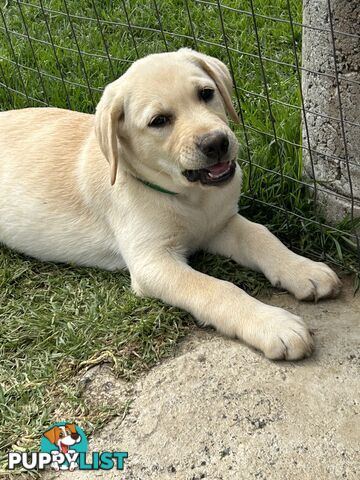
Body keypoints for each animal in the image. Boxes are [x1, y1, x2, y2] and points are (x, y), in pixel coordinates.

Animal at [0, 51, 340, 360]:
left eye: (206, 93)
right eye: (159, 121)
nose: (216, 143)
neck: (190, 197)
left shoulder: (221, 224)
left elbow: (262, 236)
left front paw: (303, 269)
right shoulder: (153, 262)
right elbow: (217, 288)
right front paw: (273, 324)